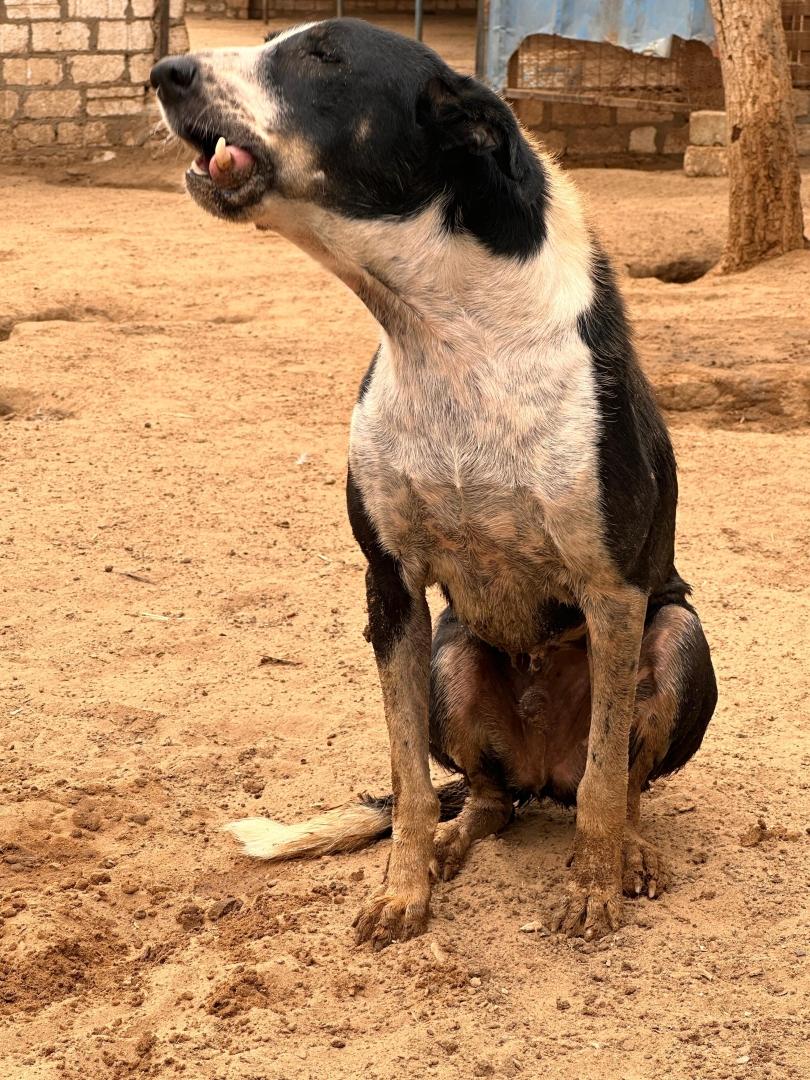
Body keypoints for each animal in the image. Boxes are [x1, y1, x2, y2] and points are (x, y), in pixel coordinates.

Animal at [151, 18, 717, 949]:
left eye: (324, 57)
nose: (166, 72)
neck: (448, 334)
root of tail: (541, 774)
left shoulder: (613, 595)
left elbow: (606, 778)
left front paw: (591, 888)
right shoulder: (392, 589)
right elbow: (407, 779)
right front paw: (404, 890)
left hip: (675, 636)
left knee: (619, 784)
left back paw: (625, 853)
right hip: (454, 657)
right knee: (487, 799)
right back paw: (460, 837)